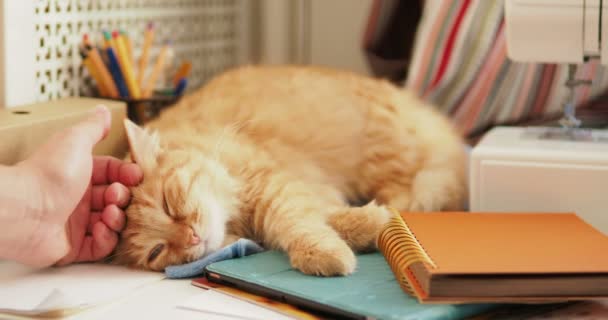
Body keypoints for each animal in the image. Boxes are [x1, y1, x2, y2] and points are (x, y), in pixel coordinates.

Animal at [113, 65, 466, 276]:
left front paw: (330, 250)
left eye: (169, 204)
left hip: (384, 158)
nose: (191, 237)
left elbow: (298, 222)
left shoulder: (273, 187)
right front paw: (364, 227)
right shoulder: (301, 189)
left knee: (414, 191)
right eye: (157, 251)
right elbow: (322, 216)